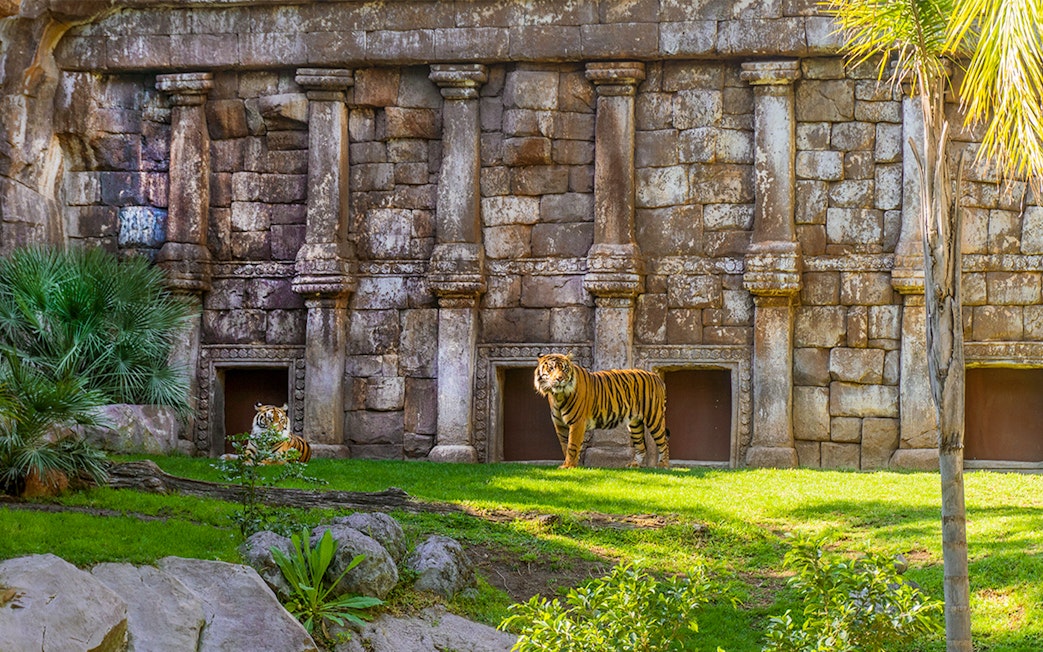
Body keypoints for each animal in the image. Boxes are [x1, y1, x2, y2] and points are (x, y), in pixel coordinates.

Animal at [533, 353, 670, 469]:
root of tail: (656, 377)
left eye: (565, 369)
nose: (560, 378)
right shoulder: (560, 425)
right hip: (634, 424)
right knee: (641, 446)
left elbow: (572, 445)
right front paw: (571, 465)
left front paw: (568, 466)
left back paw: (663, 465)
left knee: (664, 442)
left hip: (654, 418)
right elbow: (564, 445)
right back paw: (634, 465)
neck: (557, 396)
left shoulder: (577, 422)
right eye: (551, 368)